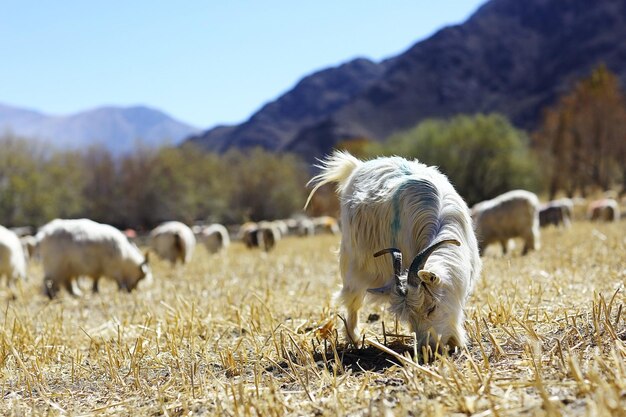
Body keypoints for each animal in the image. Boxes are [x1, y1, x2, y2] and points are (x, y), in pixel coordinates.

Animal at [304, 151, 480, 350]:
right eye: (410, 316)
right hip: (351, 259)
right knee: (352, 300)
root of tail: (357, 166)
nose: (427, 347)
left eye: (432, 308)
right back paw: (353, 338)